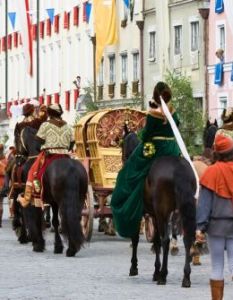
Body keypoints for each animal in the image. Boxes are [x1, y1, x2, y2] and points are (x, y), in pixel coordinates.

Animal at [14, 125, 88, 256]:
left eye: (16, 138)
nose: (18, 161)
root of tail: (72, 168)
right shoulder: (52, 202)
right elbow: (55, 222)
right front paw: (57, 246)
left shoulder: (34, 199)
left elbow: (35, 218)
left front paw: (38, 243)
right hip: (79, 198)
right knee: (75, 218)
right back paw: (73, 246)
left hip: (63, 200)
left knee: (66, 218)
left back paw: (71, 249)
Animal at [122, 129, 197, 288]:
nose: (124, 160)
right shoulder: (155, 215)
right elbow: (156, 242)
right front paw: (155, 271)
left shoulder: (142, 214)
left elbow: (137, 238)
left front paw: (135, 267)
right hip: (183, 210)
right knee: (187, 238)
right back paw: (186, 277)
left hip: (163, 213)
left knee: (166, 240)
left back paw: (163, 275)